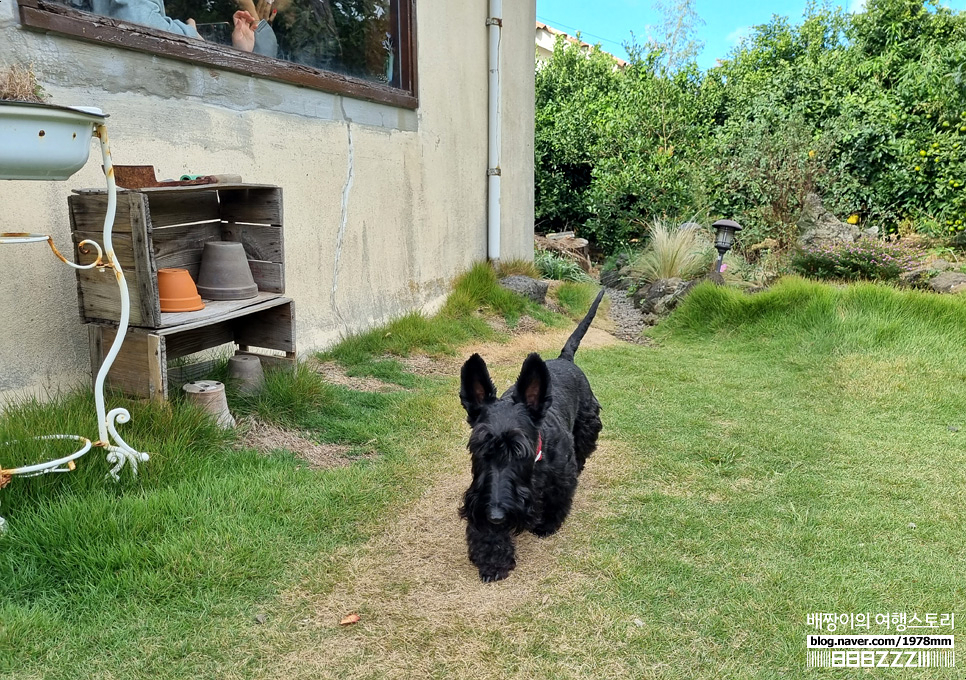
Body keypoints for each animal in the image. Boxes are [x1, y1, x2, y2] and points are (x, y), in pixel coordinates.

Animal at [462, 290, 604, 580]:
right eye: (480, 450)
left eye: (519, 452)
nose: (495, 515)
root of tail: (564, 359)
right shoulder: (481, 495)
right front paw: (493, 559)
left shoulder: (561, 477)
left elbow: (558, 498)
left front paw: (547, 524)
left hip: (588, 423)